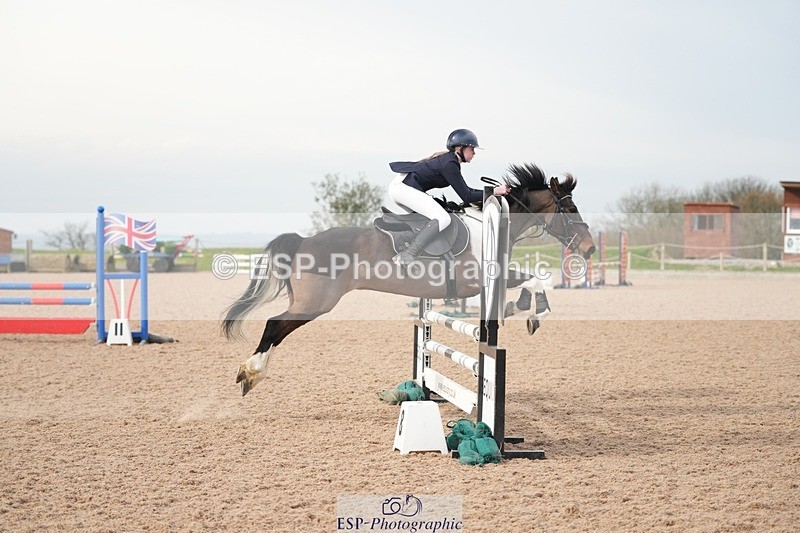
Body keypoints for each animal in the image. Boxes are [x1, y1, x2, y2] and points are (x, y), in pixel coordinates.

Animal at [223, 163, 596, 395]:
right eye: (570, 209)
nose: (590, 248)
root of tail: (303, 240)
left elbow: (529, 282)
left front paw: (520, 307)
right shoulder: (482, 278)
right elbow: (533, 281)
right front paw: (532, 311)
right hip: (315, 303)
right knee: (274, 325)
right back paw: (250, 373)